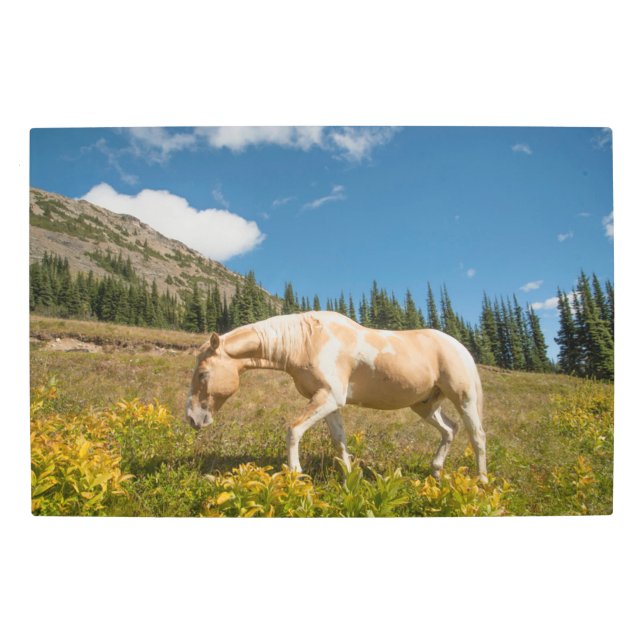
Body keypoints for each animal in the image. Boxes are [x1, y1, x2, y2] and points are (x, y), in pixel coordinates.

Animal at [186, 310, 487, 482]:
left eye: (202, 374)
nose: (192, 418)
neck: (308, 340)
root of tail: (460, 346)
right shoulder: (328, 403)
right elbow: (339, 441)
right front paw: (349, 479)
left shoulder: (329, 397)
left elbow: (293, 430)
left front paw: (295, 474)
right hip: (424, 405)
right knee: (450, 429)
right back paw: (435, 472)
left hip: (464, 398)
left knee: (477, 436)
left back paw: (482, 482)